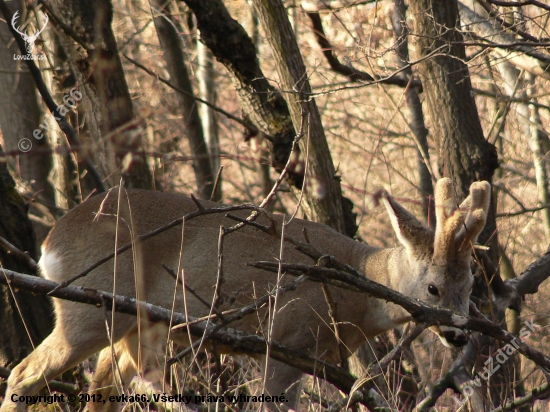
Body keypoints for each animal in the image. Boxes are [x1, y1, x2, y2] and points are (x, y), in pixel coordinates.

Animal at [0, 178, 492, 412]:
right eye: (433, 288)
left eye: (470, 287)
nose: (460, 334)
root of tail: (49, 246)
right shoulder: (286, 339)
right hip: (89, 310)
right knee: (24, 372)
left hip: (137, 327)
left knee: (107, 387)